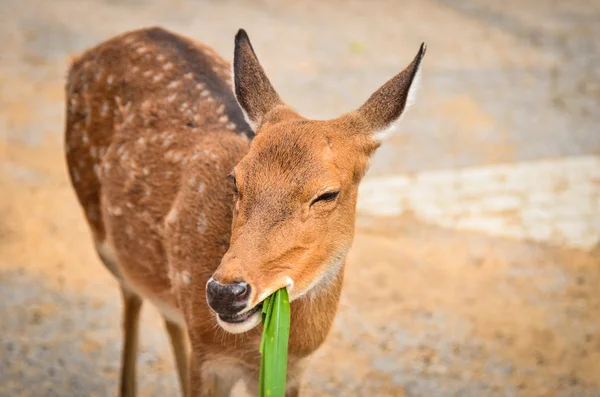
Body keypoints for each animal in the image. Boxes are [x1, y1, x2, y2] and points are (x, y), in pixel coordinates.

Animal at [64, 26, 422, 394]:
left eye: (327, 194)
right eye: (236, 179)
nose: (225, 292)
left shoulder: (292, 369)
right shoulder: (209, 357)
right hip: (102, 232)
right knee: (132, 295)